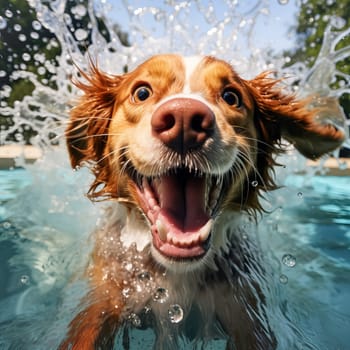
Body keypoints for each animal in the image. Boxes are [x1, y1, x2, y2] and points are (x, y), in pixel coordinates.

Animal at [58, 54, 346, 350]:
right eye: (142, 92)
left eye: (231, 96)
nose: (184, 118)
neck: (176, 271)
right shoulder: (106, 294)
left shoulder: (246, 309)